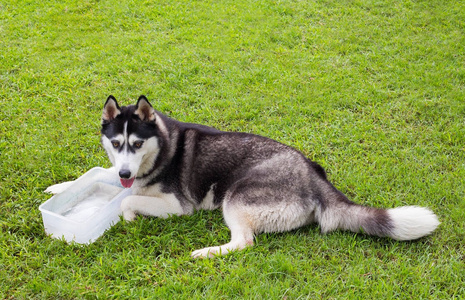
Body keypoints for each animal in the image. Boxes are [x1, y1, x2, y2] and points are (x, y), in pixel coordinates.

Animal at [47, 95, 438, 258]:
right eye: (116, 143)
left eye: (137, 143)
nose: (127, 170)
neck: (162, 147)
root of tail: (314, 177)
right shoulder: (122, 170)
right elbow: (105, 176)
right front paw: (60, 187)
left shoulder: (178, 206)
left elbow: (127, 198)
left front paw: (127, 216)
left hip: (235, 198)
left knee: (244, 242)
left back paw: (206, 252)